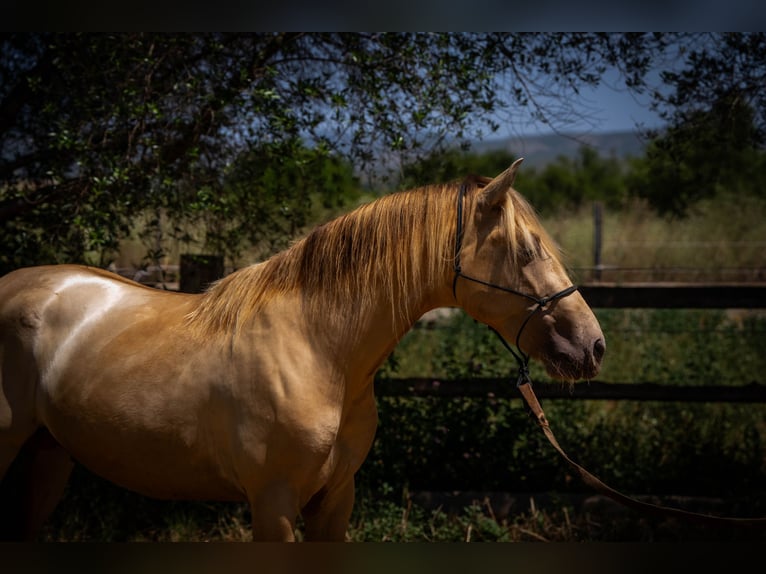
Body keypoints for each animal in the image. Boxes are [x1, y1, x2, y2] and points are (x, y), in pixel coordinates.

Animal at [0, 159, 605, 541]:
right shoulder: (274, 505)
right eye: (526, 251)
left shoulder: (336, 502)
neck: (317, 351)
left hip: (47, 456)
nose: (592, 345)